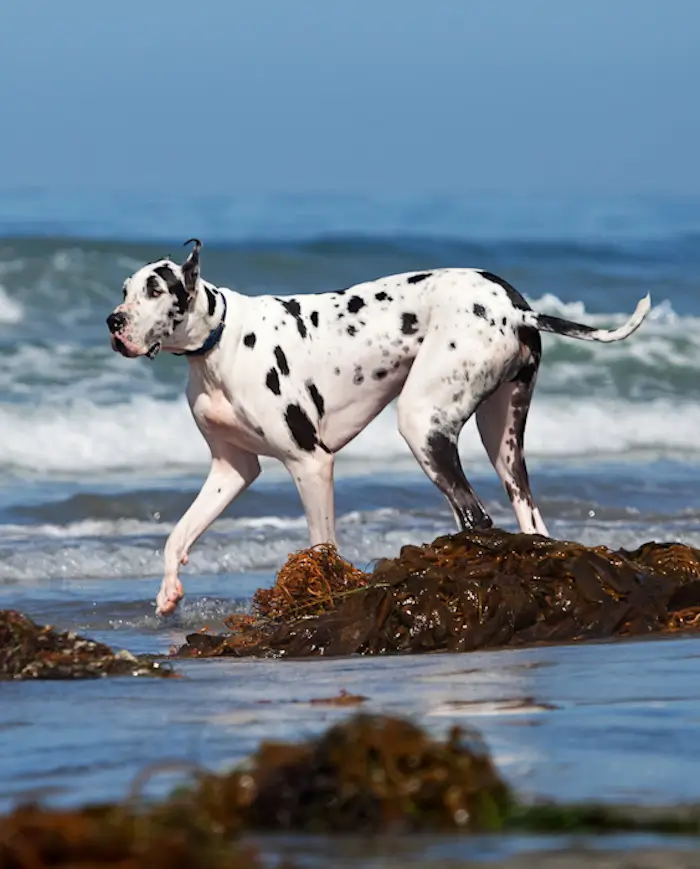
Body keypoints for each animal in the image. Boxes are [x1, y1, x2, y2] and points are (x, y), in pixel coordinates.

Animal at [108, 241, 652, 612]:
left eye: (155, 289)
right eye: (125, 289)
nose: (113, 322)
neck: (221, 342)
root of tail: (515, 307)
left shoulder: (311, 463)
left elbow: (322, 547)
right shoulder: (232, 469)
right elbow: (177, 536)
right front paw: (168, 592)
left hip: (422, 423)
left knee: (476, 517)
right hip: (502, 442)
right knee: (529, 522)